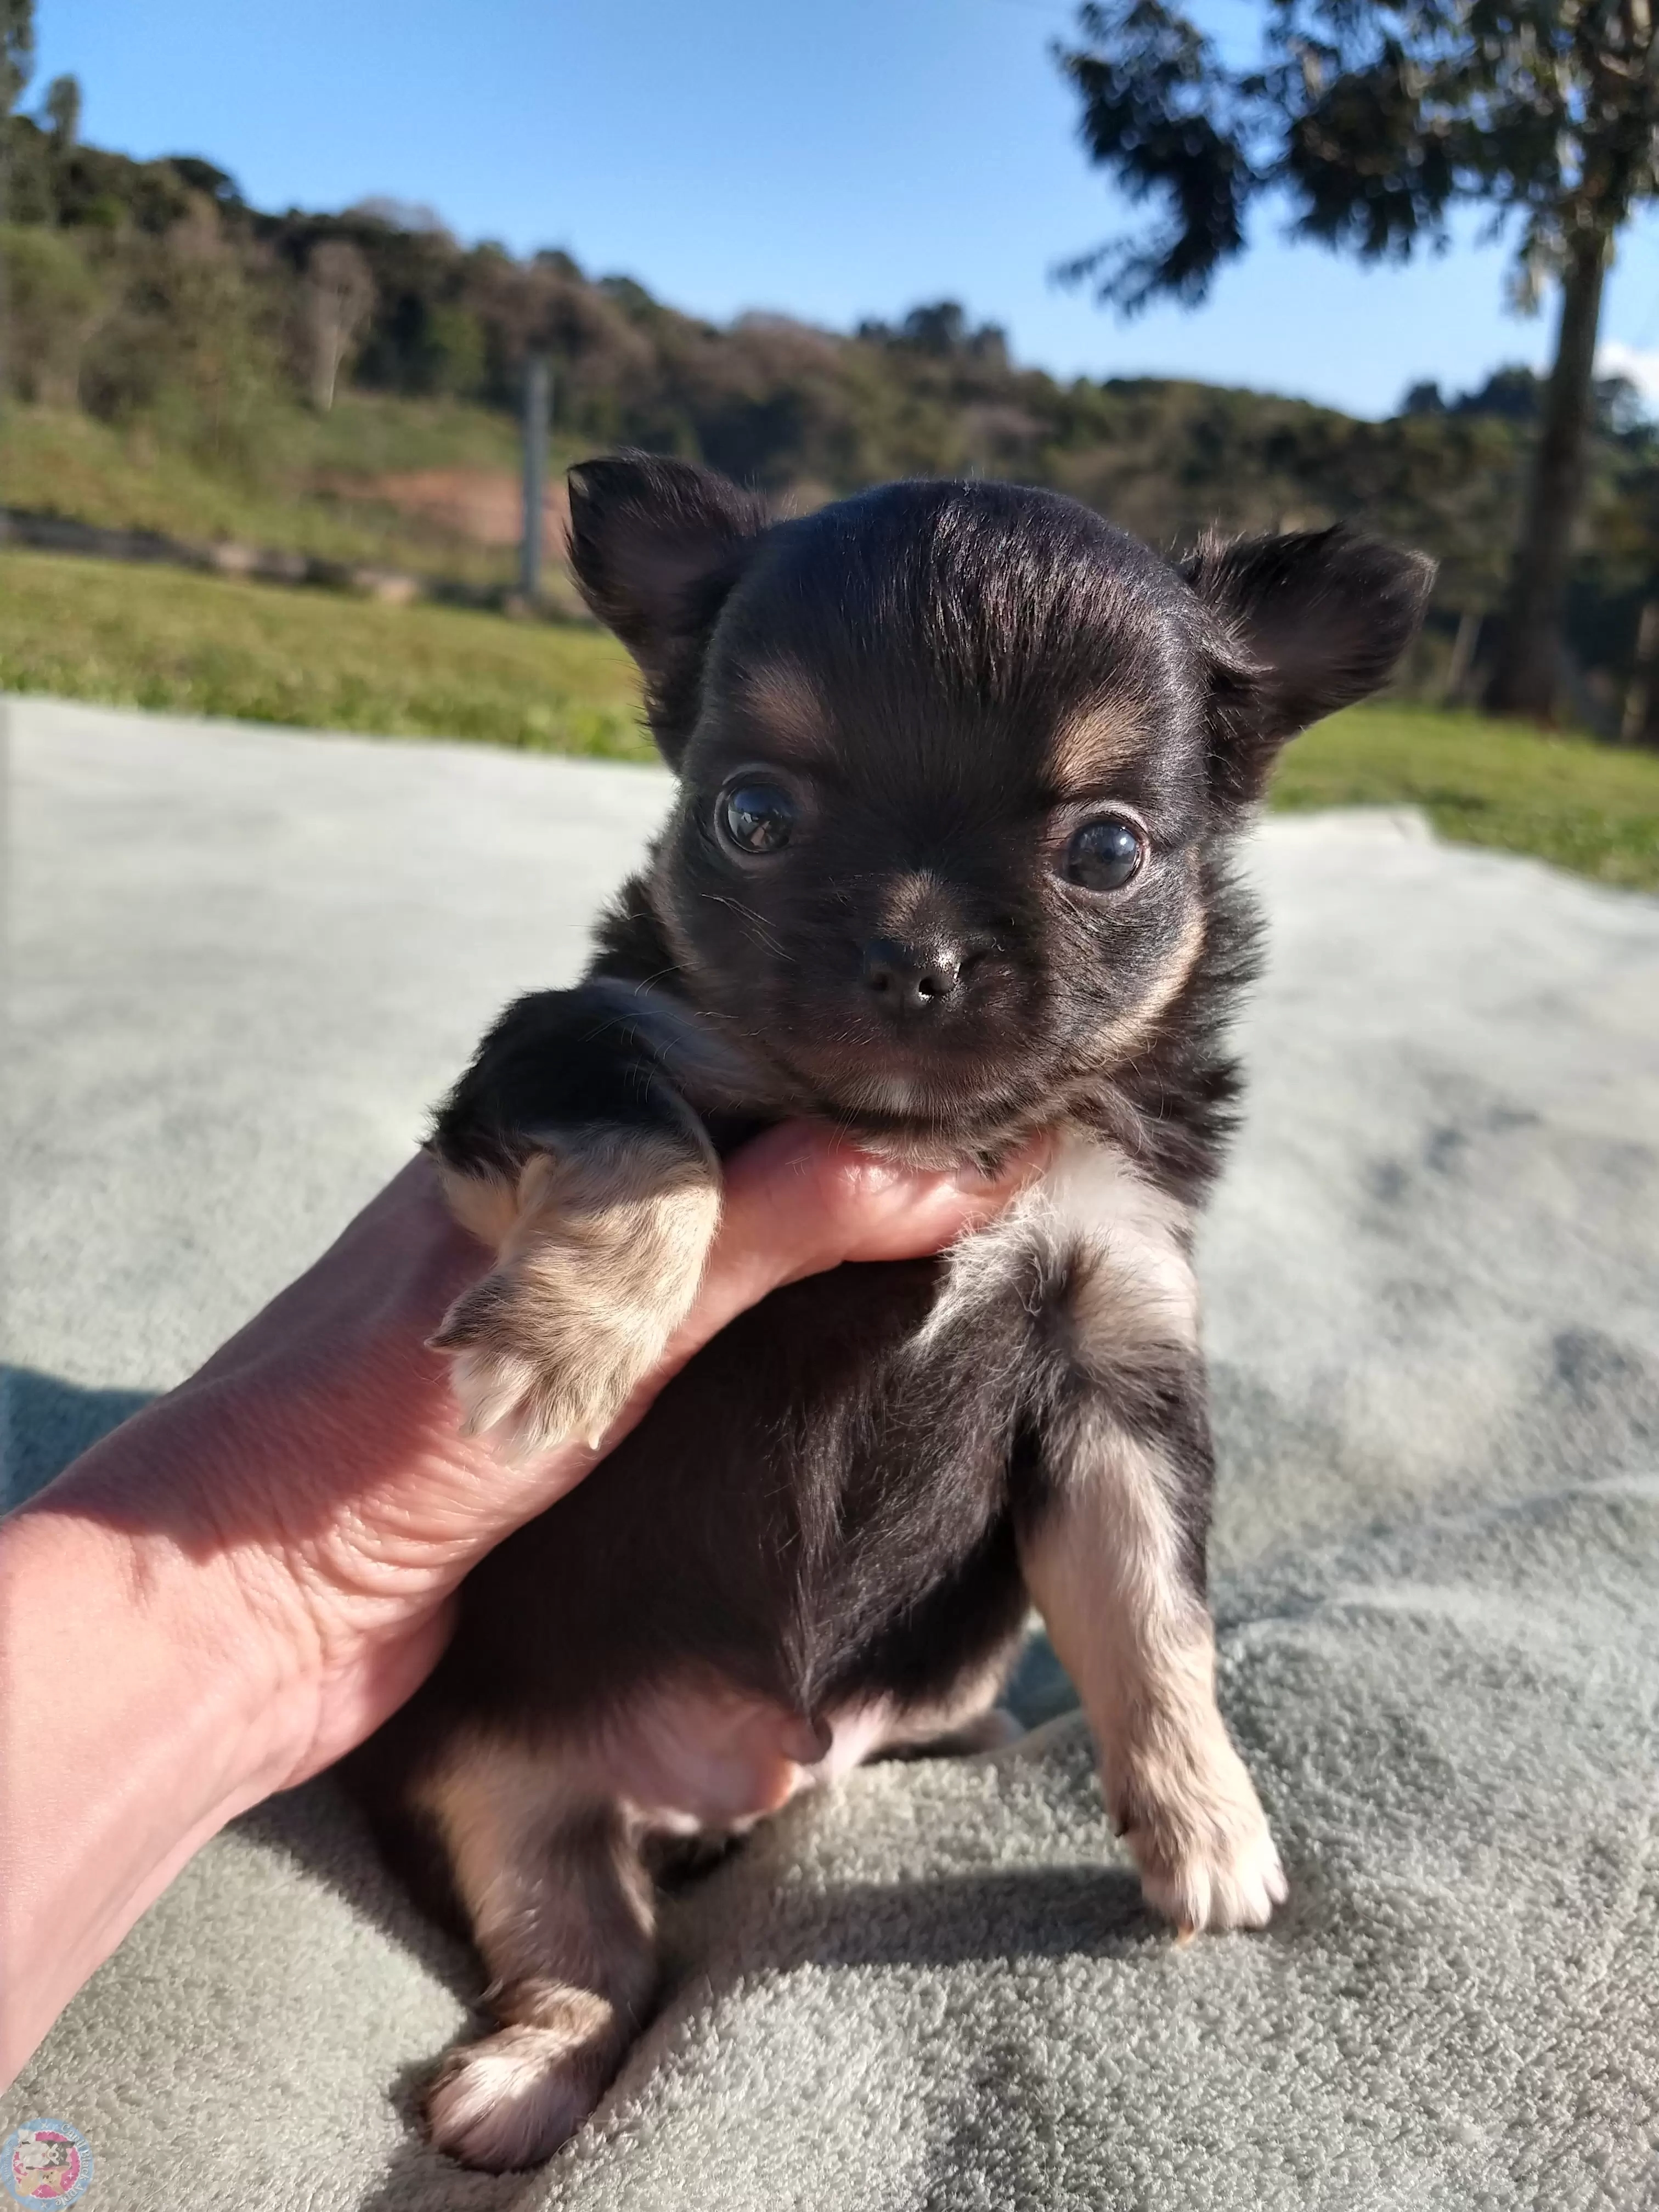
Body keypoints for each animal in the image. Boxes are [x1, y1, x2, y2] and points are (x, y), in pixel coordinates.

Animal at [345, 458, 1433, 2168]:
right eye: (752, 818)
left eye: (1109, 853)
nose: (915, 955)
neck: (929, 1137)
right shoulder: (564, 1047)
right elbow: (649, 1139)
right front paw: (566, 1344)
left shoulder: (1117, 1348)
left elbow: (1152, 1614)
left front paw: (1208, 1821)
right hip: (487, 1773)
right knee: (588, 1947)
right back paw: (524, 2082)